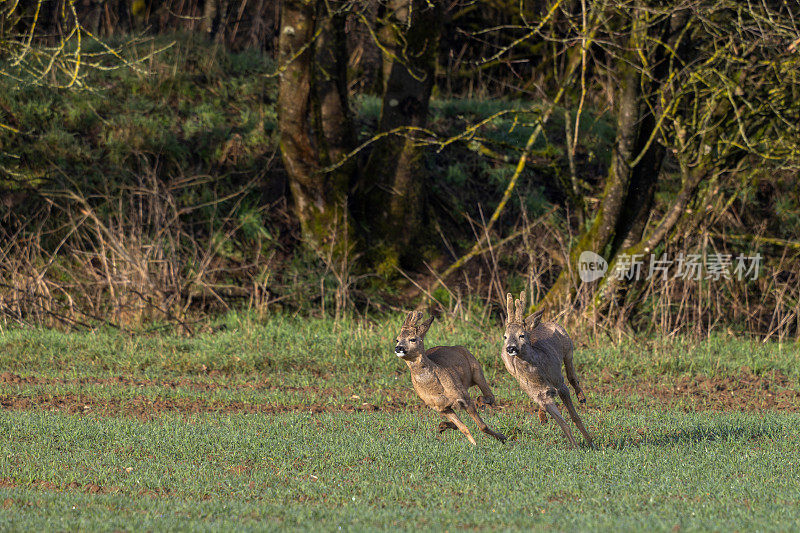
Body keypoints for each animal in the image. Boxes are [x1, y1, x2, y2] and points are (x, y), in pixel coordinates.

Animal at [394, 312, 506, 444]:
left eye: (413, 339)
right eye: (397, 339)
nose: (398, 348)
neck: (435, 388)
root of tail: (458, 347)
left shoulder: (464, 397)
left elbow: (482, 426)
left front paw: (502, 438)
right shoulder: (441, 408)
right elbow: (463, 428)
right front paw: (474, 444)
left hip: (477, 370)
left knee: (490, 396)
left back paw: (481, 404)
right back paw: (443, 426)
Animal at [500, 290, 592, 444]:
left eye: (521, 335)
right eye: (505, 336)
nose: (510, 348)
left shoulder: (560, 383)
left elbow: (575, 417)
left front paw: (591, 443)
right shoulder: (540, 395)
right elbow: (563, 423)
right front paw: (575, 446)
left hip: (569, 348)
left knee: (571, 375)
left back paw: (581, 397)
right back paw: (542, 417)